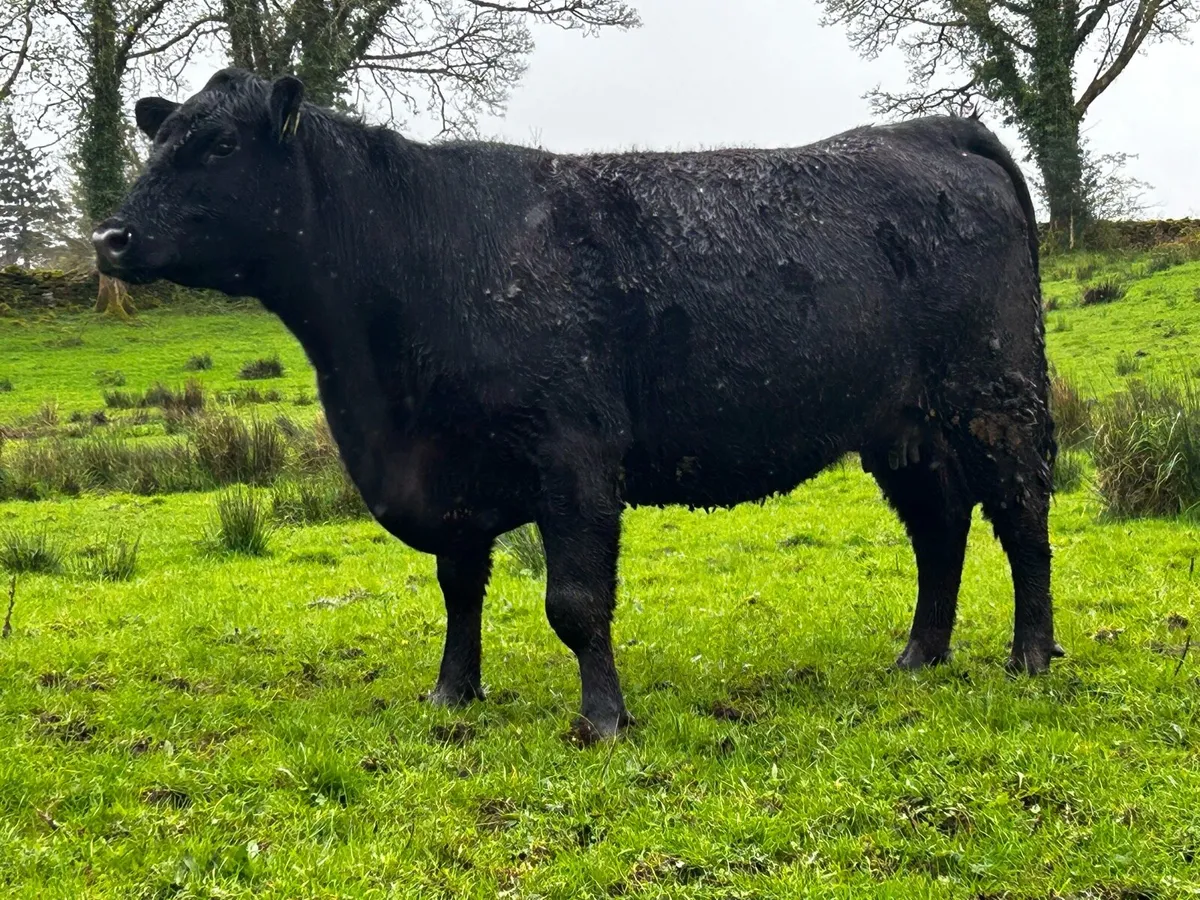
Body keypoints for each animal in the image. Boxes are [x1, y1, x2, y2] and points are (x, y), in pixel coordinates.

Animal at [94, 68, 1062, 742]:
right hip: (904, 426)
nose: (109, 236)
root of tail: (929, 130)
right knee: (940, 528)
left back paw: (1030, 656)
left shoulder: (574, 454)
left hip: (997, 395)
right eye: (160, 139)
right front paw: (452, 694)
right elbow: (459, 588)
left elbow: (575, 602)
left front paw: (603, 717)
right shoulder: (451, 472)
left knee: (1021, 519)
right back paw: (918, 657)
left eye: (221, 146)